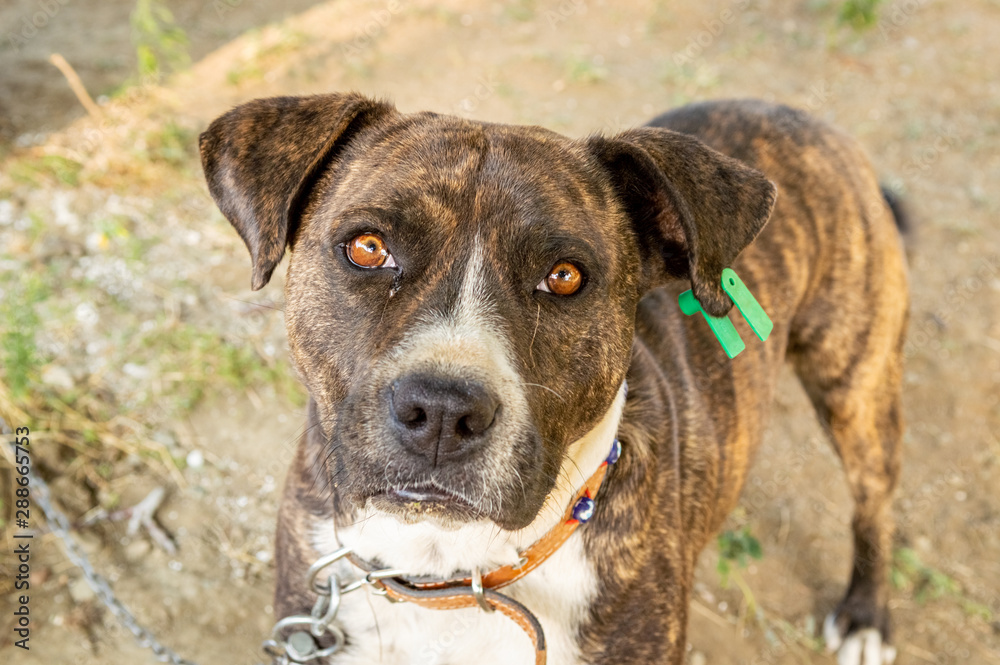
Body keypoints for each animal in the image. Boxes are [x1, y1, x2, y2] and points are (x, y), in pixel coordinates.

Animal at [201, 94, 908, 664]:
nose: (442, 411)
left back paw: (866, 618)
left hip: (856, 390)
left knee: (873, 503)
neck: (446, 570)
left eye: (565, 277)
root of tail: (796, 116)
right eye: (367, 248)